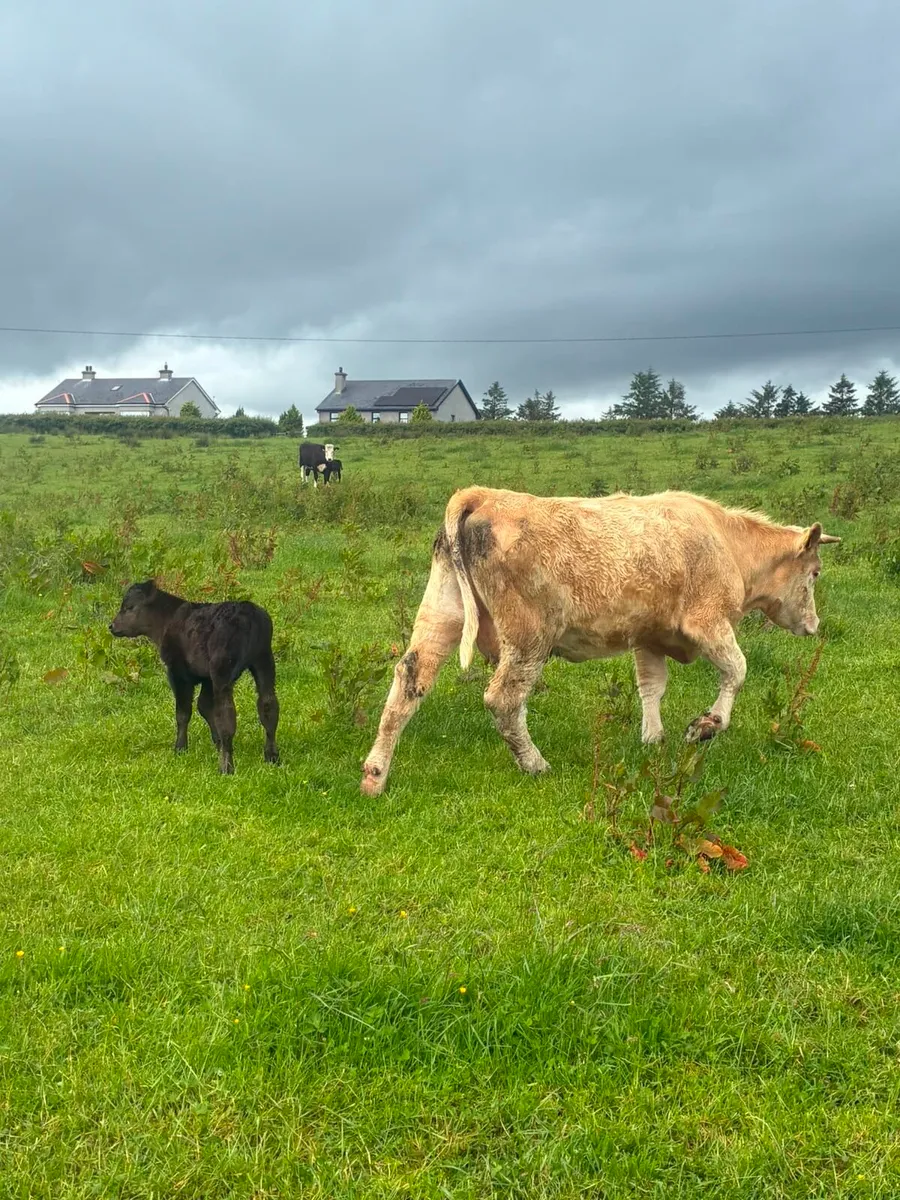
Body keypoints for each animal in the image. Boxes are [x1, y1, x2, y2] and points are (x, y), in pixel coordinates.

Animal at [109, 580, 280, 775]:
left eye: (129, 607)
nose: (111, 626)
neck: (166, 622)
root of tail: (247, 611)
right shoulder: (206, 677)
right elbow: (204, 706)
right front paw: (216, 742)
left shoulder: (178, 673)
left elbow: (183, 713)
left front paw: (180, 748)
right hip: (263, 660)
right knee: (268, 705)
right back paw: (272, 756)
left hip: (223, 669)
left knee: (226, 715)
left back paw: (226, 767)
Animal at [360, 487, 839, 796]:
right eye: (815, 573)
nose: (814, 625)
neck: (726, 542)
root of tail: (481, 495)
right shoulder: (707, 622)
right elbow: (737, 670)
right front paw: (704, 727)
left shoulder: (648, 635)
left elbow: (651, 687)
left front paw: (653, 737)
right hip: (529, 637)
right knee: (503, 700)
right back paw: (534, 763)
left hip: (442, 613)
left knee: (409, 680)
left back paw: (375, 775)